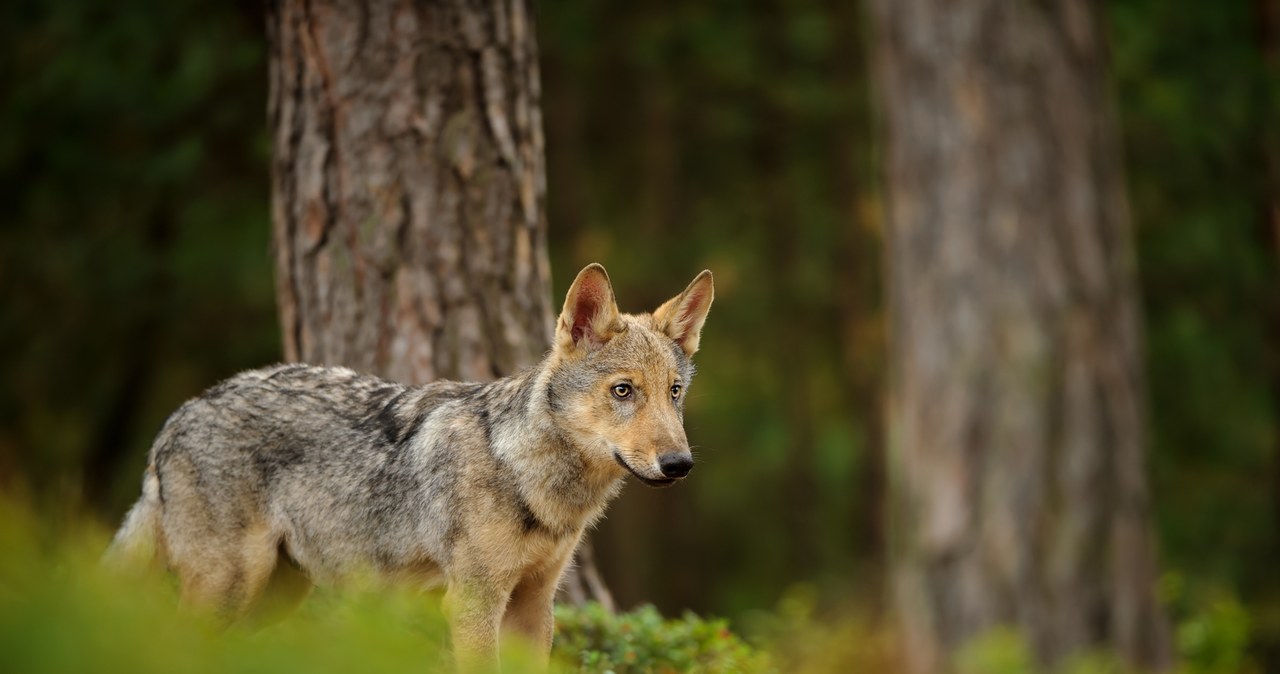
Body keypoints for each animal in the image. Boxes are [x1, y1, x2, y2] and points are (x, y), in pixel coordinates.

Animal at [107, 263, 711, 670]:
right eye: (624, 391)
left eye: (674, 393)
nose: (679, 464)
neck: (526, 474)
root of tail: (176, 419)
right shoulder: (473, 603)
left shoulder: (534, 605)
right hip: (228, 588)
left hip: (270, 598)